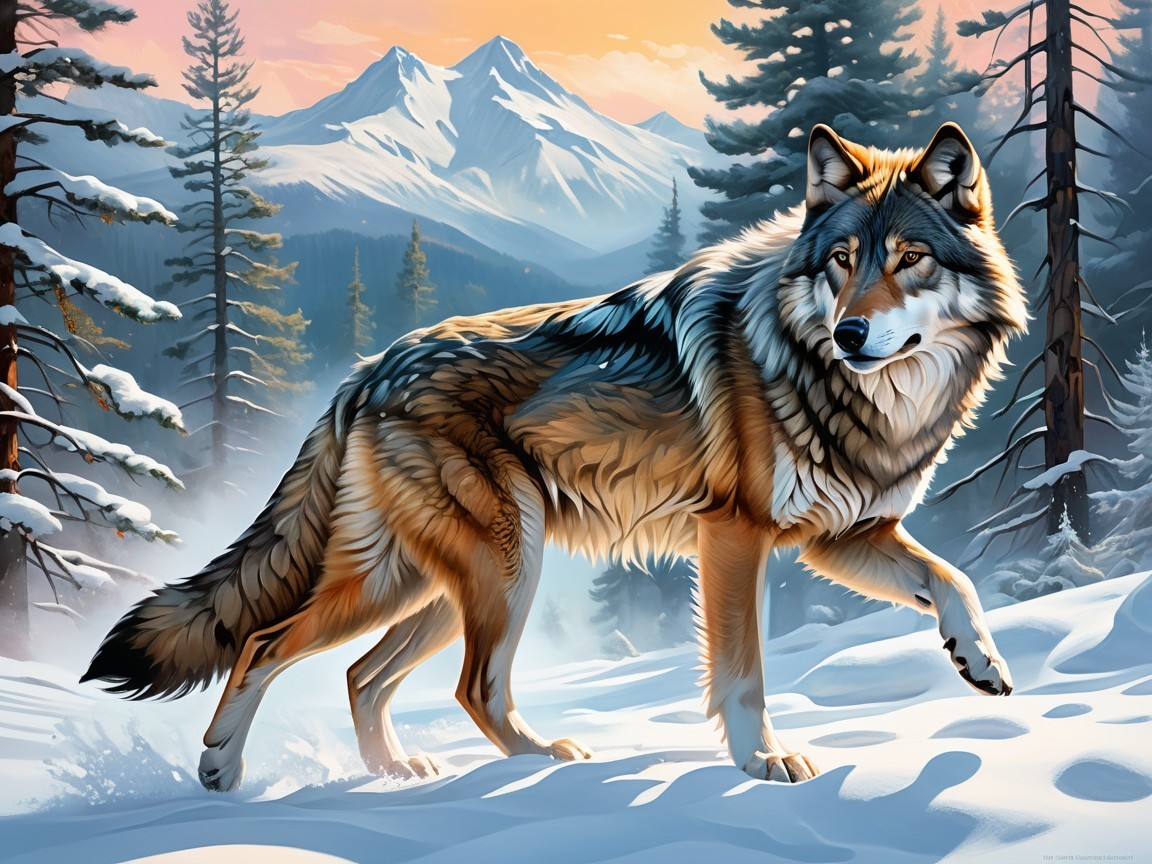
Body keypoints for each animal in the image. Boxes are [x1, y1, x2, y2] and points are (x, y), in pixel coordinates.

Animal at [84, 122, 1027, 791]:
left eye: (909, 258)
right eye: (840, 261)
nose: (851, 334)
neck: (848, 390)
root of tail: (367, 370)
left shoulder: (842, 536)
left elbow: (954, 580)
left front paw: (980, 662)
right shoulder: (736, 536)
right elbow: (744, 671)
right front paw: (762, 762)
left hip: (440, 587)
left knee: (360, 674)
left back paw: (398, 773)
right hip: (494, 572)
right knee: (296, 649)